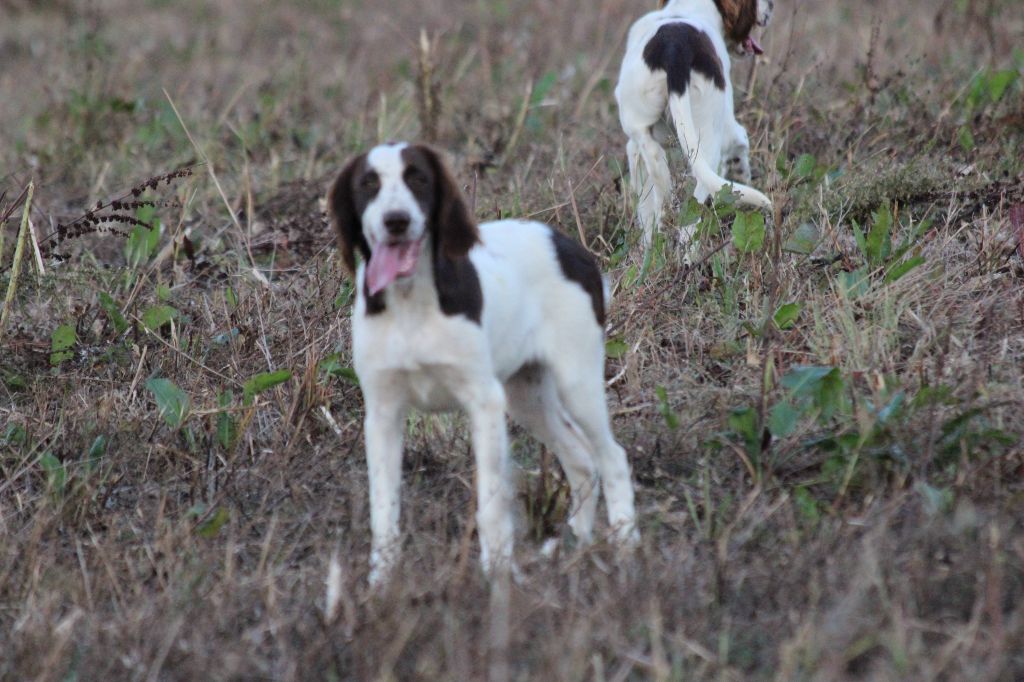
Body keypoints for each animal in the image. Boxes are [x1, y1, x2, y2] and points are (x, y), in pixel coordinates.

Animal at [327, 142, 639, 584]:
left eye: (418, 178)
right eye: (368, 183)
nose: (396, 221)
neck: (410, 303)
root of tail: (570, 246)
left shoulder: (484, 401)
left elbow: (491, 505)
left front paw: (496, 579)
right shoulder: (382, 413)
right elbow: (383, 510)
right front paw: (380, 584)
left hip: (576, 381)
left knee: (611, 458)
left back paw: (626, 552)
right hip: (526, 394)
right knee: (580, 459)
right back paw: (575, 549)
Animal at [615, 0, 775, 246]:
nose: (771, 5)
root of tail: (675, 50)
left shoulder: (633, 145)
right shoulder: (729, 129)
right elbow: (742, 145)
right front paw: (743, 175)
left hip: (644, 130)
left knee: (658, 171)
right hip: (708, 139)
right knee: (693, 211)